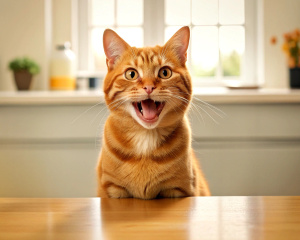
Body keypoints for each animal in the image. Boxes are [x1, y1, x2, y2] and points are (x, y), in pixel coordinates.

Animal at [97, 26, 210, 199]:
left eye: (165, 73)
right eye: (131, 74)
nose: (149, 87)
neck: (146, 138)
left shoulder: (178, 189)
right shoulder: (113, 190)